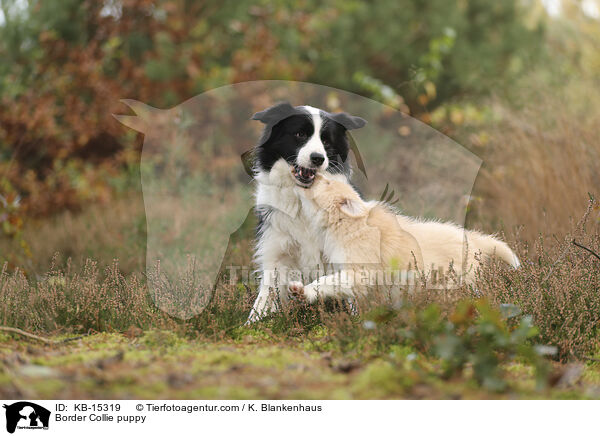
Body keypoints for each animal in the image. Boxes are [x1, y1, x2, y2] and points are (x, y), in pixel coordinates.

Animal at [245, 101, 366, 320]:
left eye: (326, 140)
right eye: (300, 134)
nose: (318, 158)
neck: (302, 198)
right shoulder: (276, 252)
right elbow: (264, 300)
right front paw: (254, 323)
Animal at [288, 175, 516, 302]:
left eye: (326, 182)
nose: (310, 171)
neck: (347, 224)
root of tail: (475, 240)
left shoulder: (359, 272)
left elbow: (326, 281)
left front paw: (303, 291)